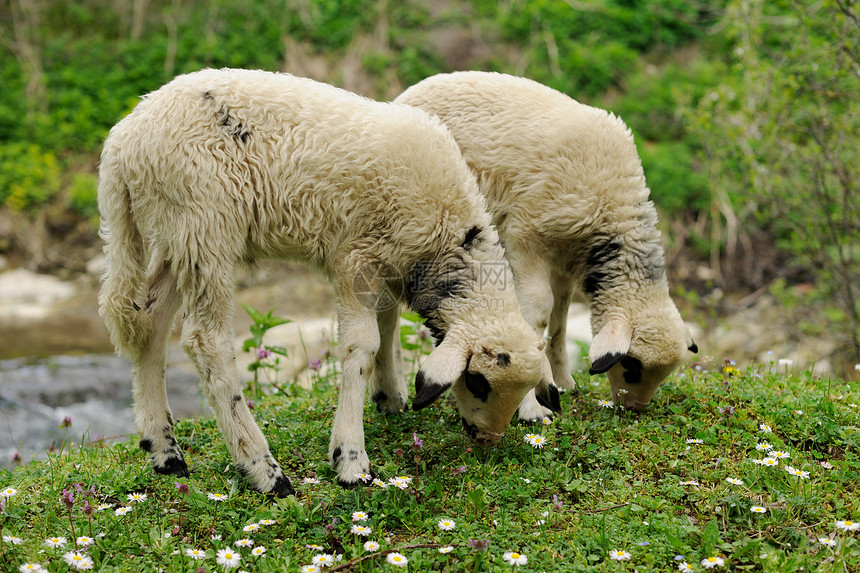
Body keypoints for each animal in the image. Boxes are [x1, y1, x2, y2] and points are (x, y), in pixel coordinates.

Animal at [97, 67, 560, 494]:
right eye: (478, 382)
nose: (487, 441)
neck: (447, 236)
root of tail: (123, 141)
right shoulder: (356, 258)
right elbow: (362, 346)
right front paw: (351, 460)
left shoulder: (389, 260)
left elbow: (387, 325)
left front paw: (390, 399)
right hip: (204, 223)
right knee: (205, 342)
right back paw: (265, 471)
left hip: (175, 233)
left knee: (150, 324)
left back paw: (165, 453)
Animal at [396, 72, 700, 420]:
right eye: (632, 366)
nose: (634, 408)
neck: (612, 204)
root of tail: (409, 91)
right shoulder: (527, 236)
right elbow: (539, 313)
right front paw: (532, 408)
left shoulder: (566, 256)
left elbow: (561, 316)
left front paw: (563, 381)